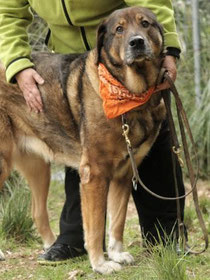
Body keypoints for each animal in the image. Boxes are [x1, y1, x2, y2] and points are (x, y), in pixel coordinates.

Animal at [0, 6, 166, 274]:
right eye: (119, 29)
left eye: (145, 24)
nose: (137, 42)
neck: (129, 93)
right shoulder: (95, 174)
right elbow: (96, 225)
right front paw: (100, 264)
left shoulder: (123, 175)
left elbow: (117, 221)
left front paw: (116, 254)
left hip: (38, 168)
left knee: (37, 213)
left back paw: (52, 248)